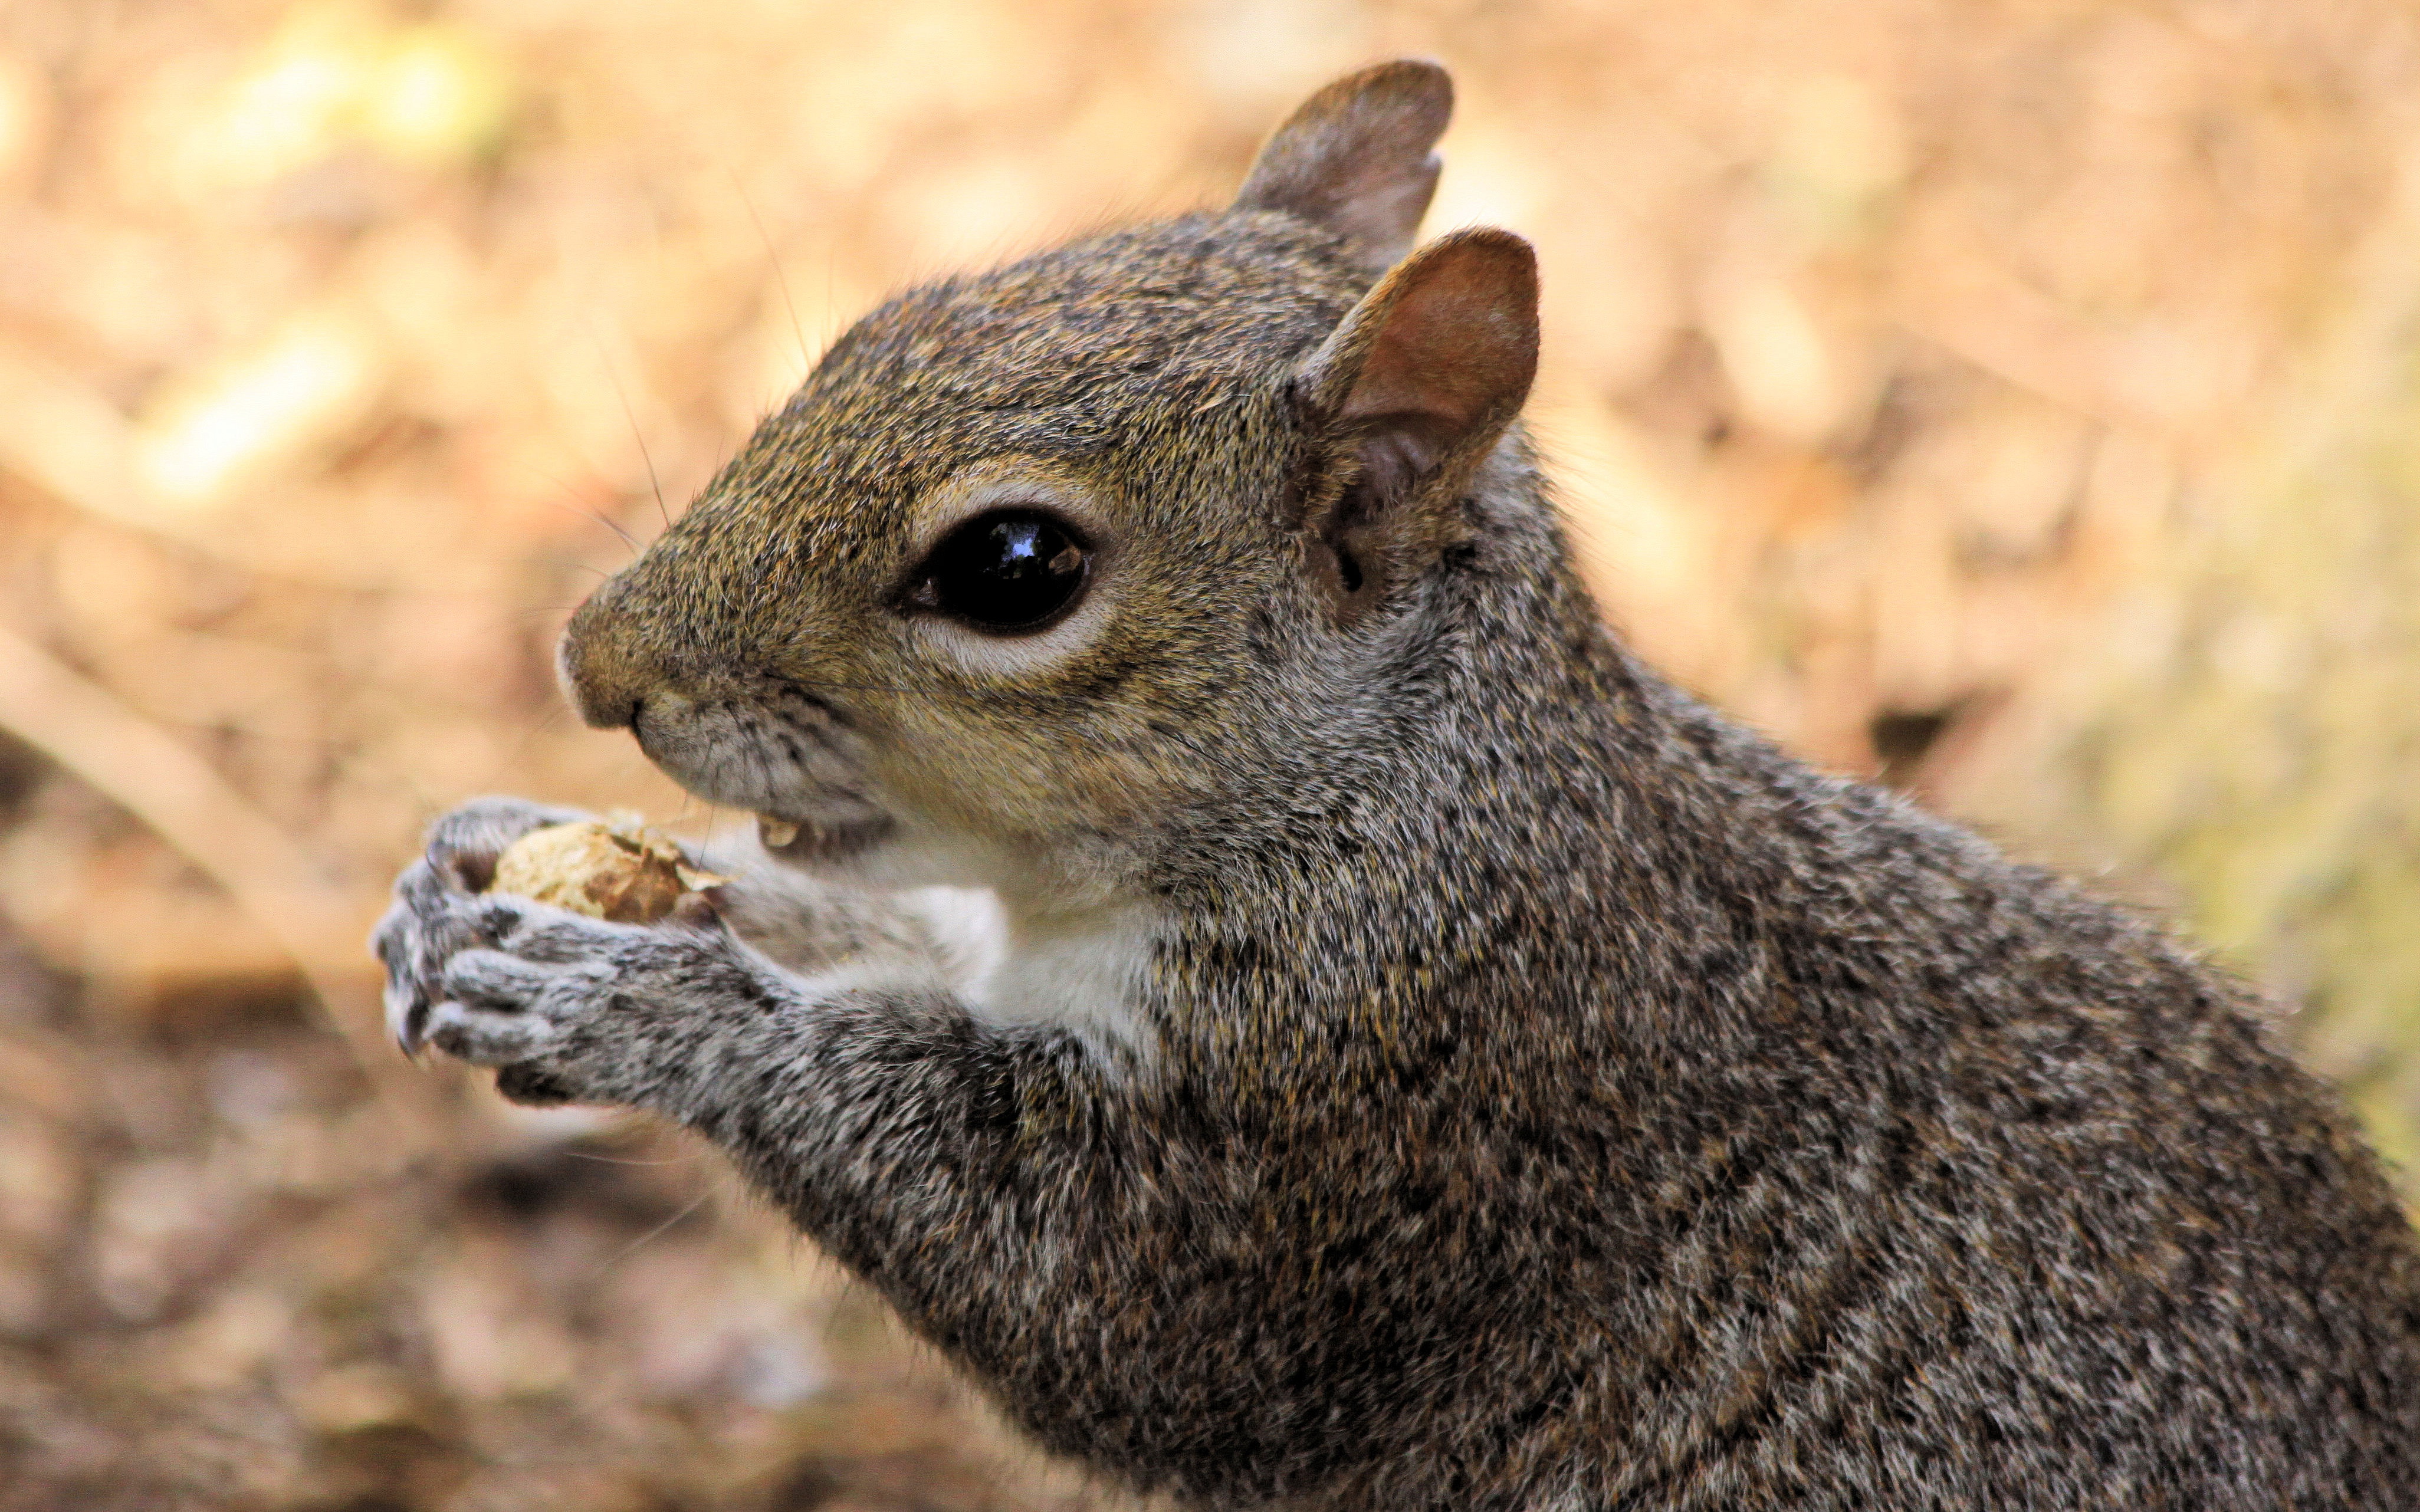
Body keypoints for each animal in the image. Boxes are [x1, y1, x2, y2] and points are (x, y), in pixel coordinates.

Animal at [372, 58, 2420, 1509]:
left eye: (1013, 568)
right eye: (869, 330)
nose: (594, 664)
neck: (1400, 800)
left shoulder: (1364, 1128)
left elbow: (1079, 1299)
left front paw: (635, 1002)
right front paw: (478, 866)